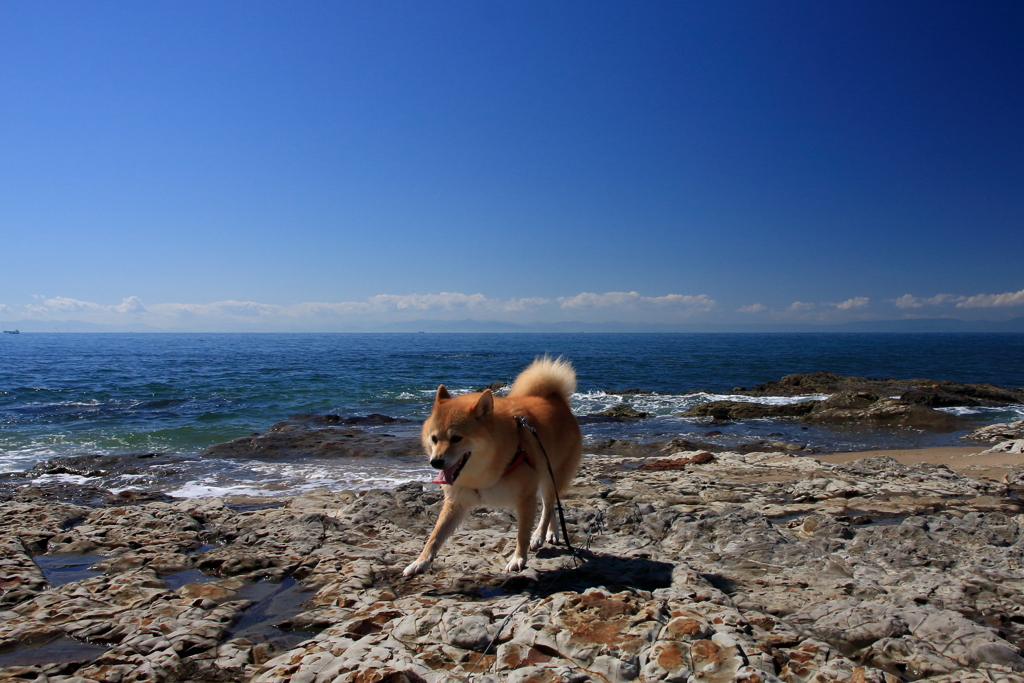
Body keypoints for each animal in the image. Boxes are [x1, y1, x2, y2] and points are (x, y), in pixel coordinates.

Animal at [405, 358, 585, 577]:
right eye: (434, 438)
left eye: (456, 438)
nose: (435, 462)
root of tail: (556, 400)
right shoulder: (456, 502)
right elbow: (434, 537)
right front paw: (420, 562)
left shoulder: (525, 497)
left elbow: (522, 534)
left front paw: (518, 559)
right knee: (551, 507)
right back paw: (551, 532)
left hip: (551, 478)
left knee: (549, 506)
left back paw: (540, 535)